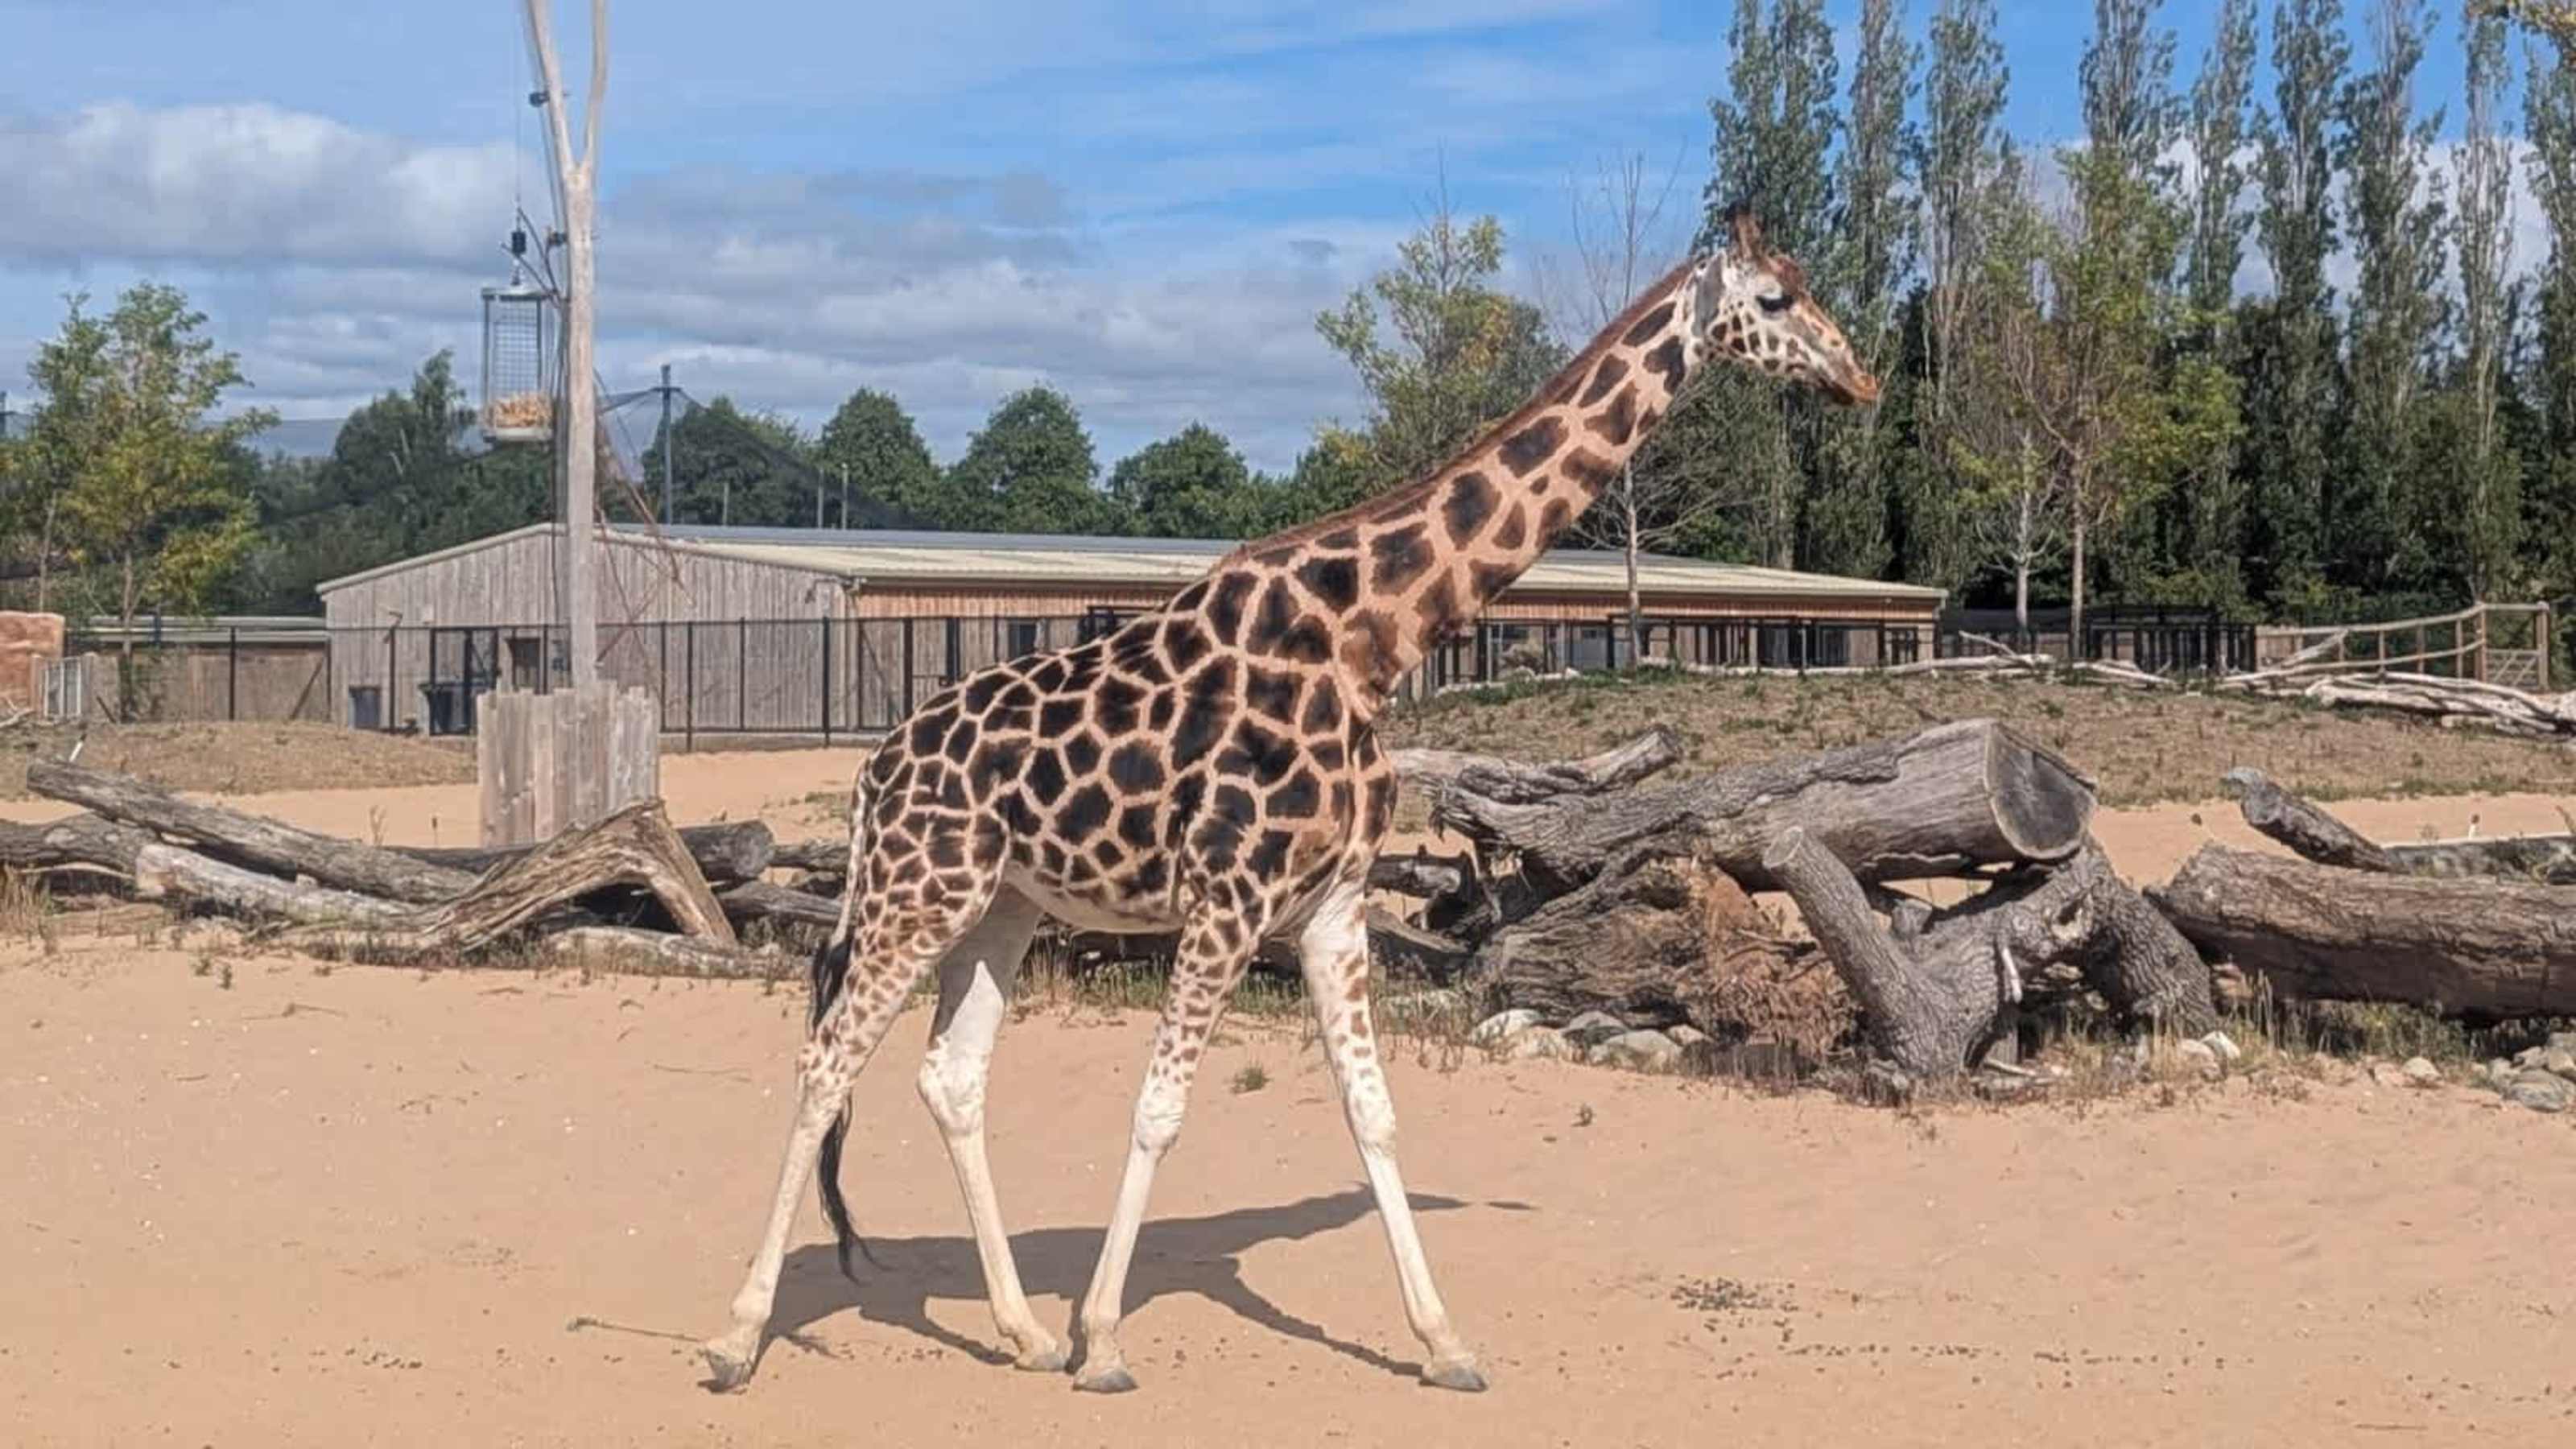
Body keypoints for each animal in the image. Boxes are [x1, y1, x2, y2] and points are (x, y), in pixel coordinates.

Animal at [700, 206, 1880, 1396]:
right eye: (1774, 301)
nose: (1859, 377)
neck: (1373, 640)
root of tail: (873, 773)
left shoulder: (1333, 907)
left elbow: (1374, 1112)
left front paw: (1443, 1343)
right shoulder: (1226, 901)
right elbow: (1162, 1108)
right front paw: (1105, 1340)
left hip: (1002, 905)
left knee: (950, 1076)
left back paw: (1019, 1331)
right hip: (919, 892)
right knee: (825, 1061)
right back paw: (738, 1335)